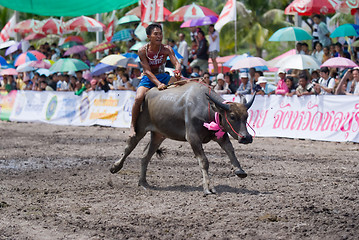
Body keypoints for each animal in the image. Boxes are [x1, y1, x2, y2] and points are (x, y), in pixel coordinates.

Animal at [110, 81, 256, 194]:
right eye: (232, 116)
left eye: (246, 116)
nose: (246, 137)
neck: (206, 108)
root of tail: (146, 94)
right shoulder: (193, 138)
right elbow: (204, 161)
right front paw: (208, 188)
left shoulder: (220, 135)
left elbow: (230, 149)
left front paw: (239, 170)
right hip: (139, 129)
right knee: (129, 147)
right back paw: (115, 167)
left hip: (158, 135)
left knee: (145, 156)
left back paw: (143, 182)